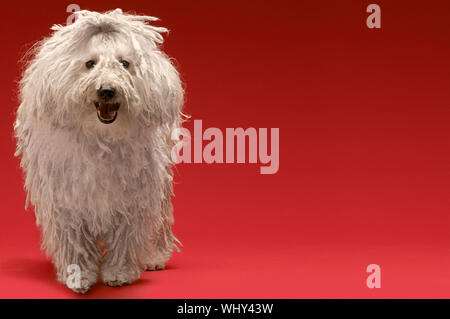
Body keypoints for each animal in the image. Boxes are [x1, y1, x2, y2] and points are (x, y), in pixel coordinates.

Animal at [14, 9, 183, 296]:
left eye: (125, 63)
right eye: (89, 64)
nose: (107, 90)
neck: (102, 138)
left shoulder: (132, 197)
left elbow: (126, 235)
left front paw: (120, 272)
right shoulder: (65, 199)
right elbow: (73, 240)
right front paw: (78, 275)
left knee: (159, 216)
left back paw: (155, 256)